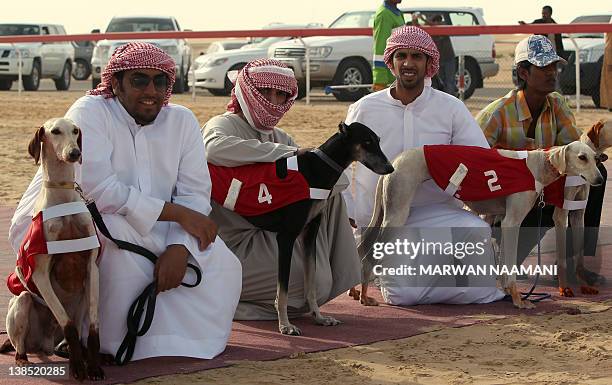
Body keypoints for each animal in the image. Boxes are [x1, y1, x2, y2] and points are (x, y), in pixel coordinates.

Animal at [239, 121, 392, 334]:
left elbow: (311, 281)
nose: (390, 167)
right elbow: (283, 290)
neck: (318, 168)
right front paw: (285, 325)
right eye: (366, 141)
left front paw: (319, 317)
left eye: (377, 140)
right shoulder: (286, 238)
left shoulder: (310, 234)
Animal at [358, 141, 604, 308]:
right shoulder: (511, 222)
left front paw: (508, 294)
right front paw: (519, 300)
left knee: (361, 249)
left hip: (385, 214)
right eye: (582, 157)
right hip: (396, 215)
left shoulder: (497, 218)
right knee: (368, 257)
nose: (600, 180)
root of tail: (396, 161)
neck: (538, 165)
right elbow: (509, 267)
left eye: (596, 158)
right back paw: (364, 295)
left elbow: (503, 266)